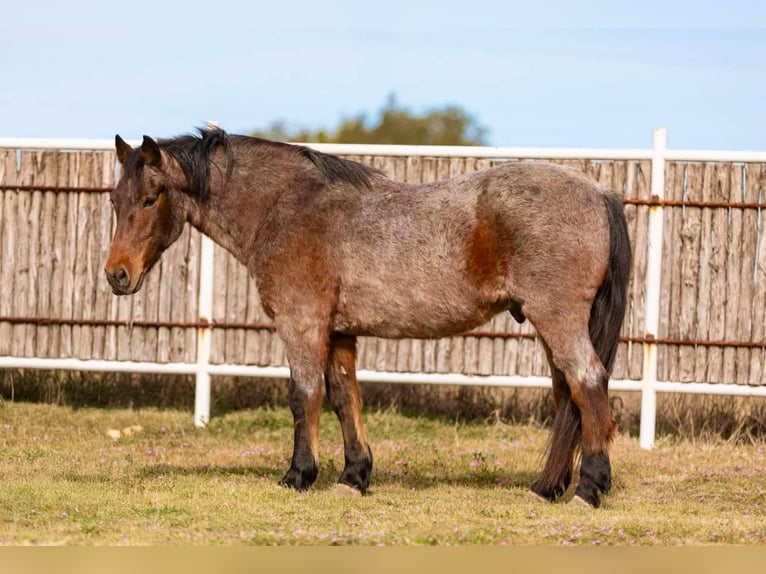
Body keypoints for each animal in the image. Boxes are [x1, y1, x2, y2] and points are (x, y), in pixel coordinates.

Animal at [103, 128, 632, 510]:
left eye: (150, 198)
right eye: (114, 199)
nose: (116, 274)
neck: (288, 208)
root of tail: (599, 191)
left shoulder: (301, 325)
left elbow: (304, 397)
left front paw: (298, 475)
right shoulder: (338, 332)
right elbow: (344, 399)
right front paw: (353, 476)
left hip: (558, 319)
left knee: (588, 383)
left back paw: (588, 489)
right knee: (567, 396)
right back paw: (547, 487)